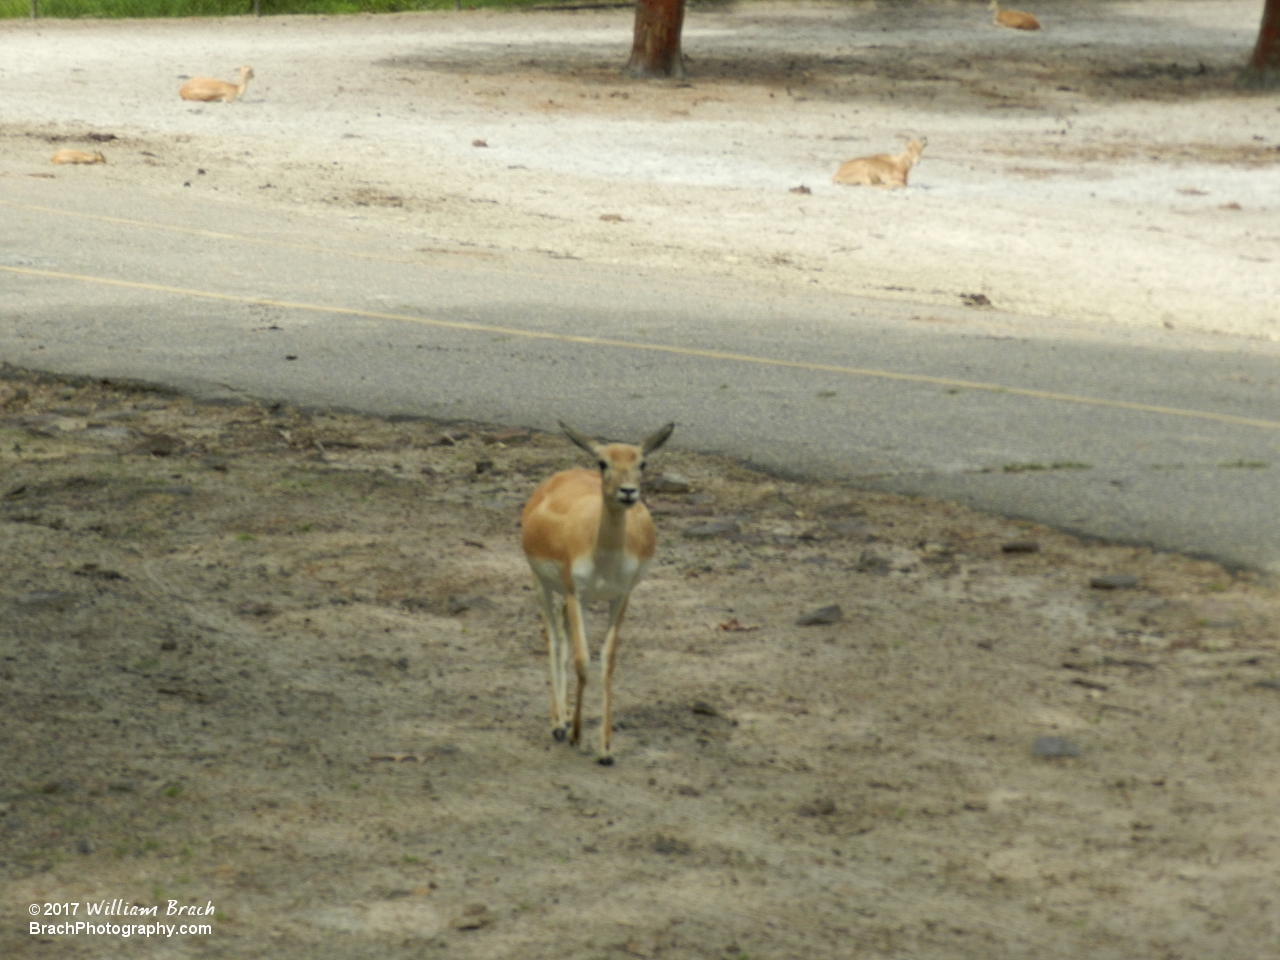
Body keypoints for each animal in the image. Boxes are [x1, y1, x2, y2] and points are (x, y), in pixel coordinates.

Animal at [522, 419, 675, 768]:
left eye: (642, 462)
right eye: (603, 462)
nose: (628, 492)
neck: (602, 555)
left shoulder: (620, 597)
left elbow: (607, 662)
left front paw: (605, 749)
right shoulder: (575, 593)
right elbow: (582, 660)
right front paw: (577, 736)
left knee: (562, 634)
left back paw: (565, 719)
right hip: (542, 584)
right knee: (553, 639)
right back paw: (558, 724)